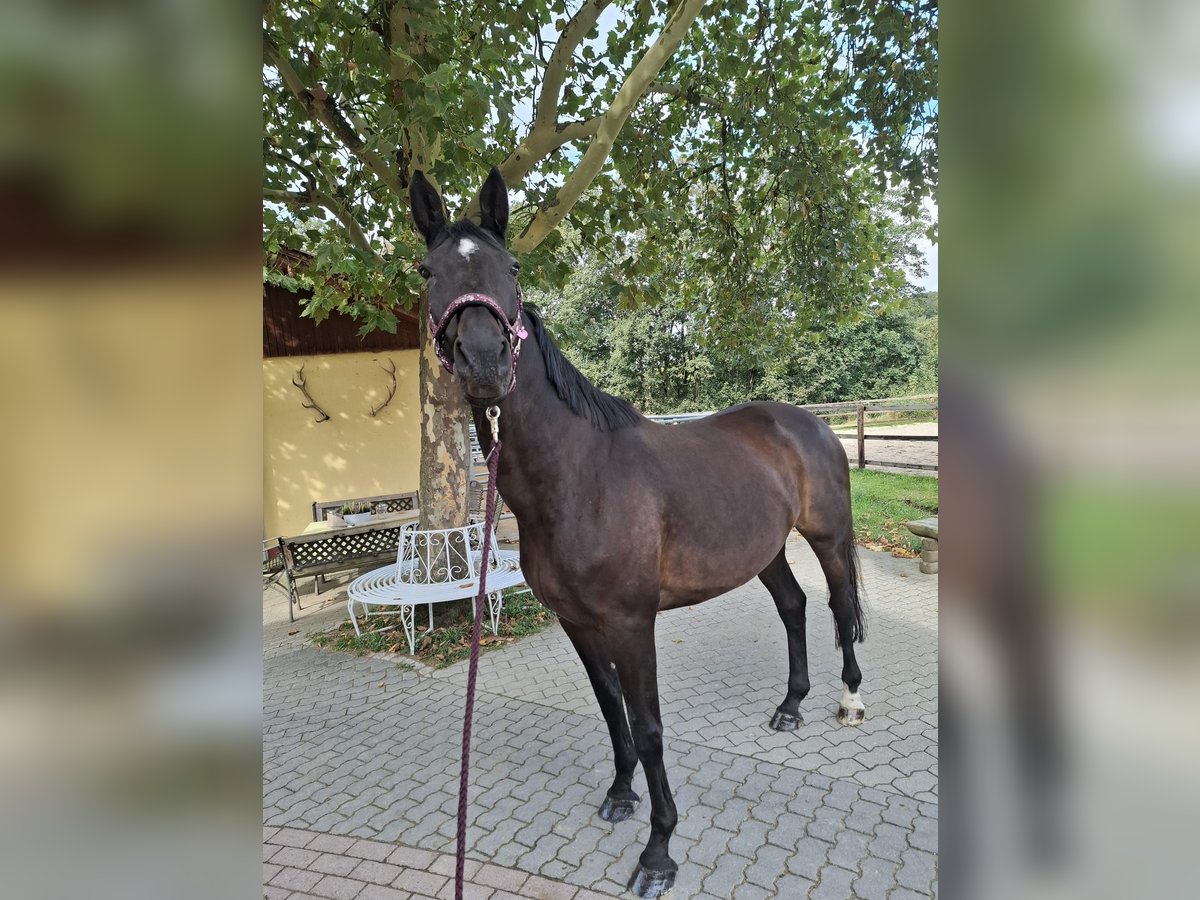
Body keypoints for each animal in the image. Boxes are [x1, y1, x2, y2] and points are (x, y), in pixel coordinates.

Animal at [410, 168, 864, 897]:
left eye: (512, 268)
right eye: (428, 271)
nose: (485, 363)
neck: (580, 476)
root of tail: (811, 422)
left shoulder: (631, 622)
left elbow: (648, 726)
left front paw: (658, 852)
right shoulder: (577, 622)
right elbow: (610, 707)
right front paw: (621, 795)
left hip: (826, 538)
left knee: (839, 605)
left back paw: (848, 699)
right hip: (763, 550)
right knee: (793, 606)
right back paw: (791, 706)